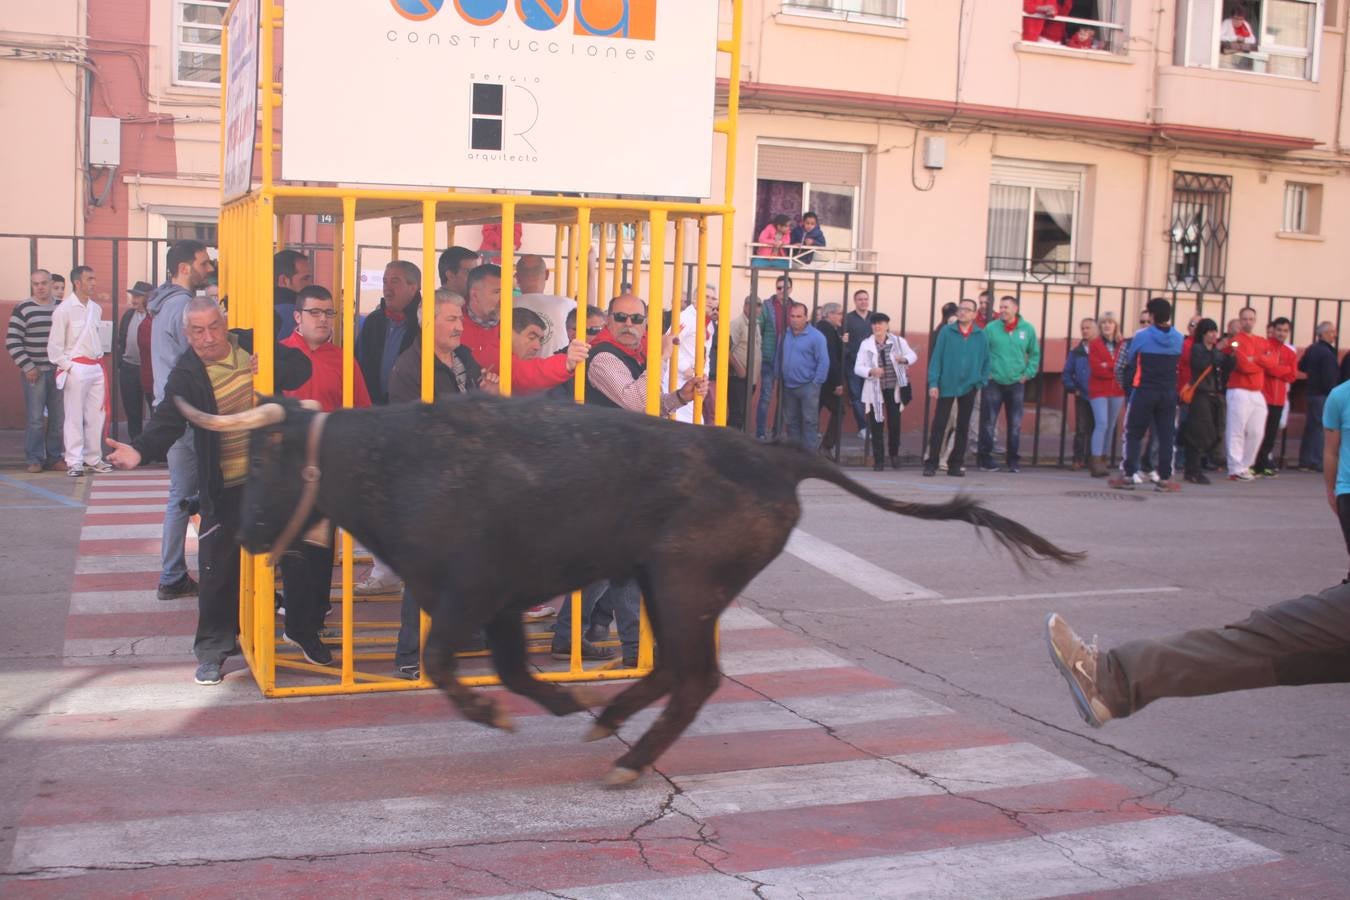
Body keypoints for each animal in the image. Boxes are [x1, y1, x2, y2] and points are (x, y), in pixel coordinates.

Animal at [179, 391, 1085, 782]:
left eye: (263, 459)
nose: (247, 534)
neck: (400, 464)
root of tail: (775, 455)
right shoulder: (499, 605)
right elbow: (513, 669)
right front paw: (563, 702)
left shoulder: (468, 596)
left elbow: (443, 665)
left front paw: (493, 715)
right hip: (662, 582)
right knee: (674, 671)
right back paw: (607, 720)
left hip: (686, 586)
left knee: (696, 678)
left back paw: (628, 758)